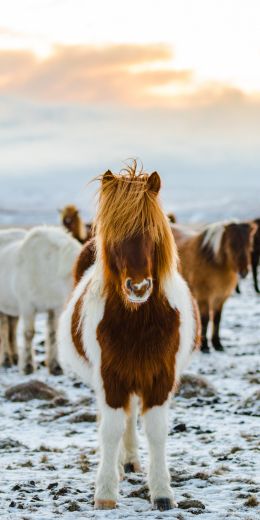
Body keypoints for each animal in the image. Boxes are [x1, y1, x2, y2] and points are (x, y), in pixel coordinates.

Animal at [0, 228, 80, 374]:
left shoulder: (55, 307)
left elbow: (53, 334)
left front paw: (55, 367)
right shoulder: (27, 306)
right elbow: (29, 334)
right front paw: (27, 366)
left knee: (11, 330)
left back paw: (15, 358)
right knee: (3, 329)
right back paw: (7, 360)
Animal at [58, 166, 200, 512]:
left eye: (152, 231)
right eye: (115, 235)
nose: (138, 287)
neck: (138, 322)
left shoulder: (160, 377)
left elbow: (156, 431)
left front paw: (162, 492)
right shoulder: (111, 378)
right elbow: (110, 430)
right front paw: (106, 492)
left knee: (131, 415)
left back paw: (131, 462)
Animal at [173, 219, 256, 354]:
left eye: (249, 243)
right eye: (232, 244)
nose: (243, 272)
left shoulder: (220, 298)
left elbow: (217, 319)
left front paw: (218, 344)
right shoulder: (204, 298)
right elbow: (205, 319)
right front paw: (205, 346)